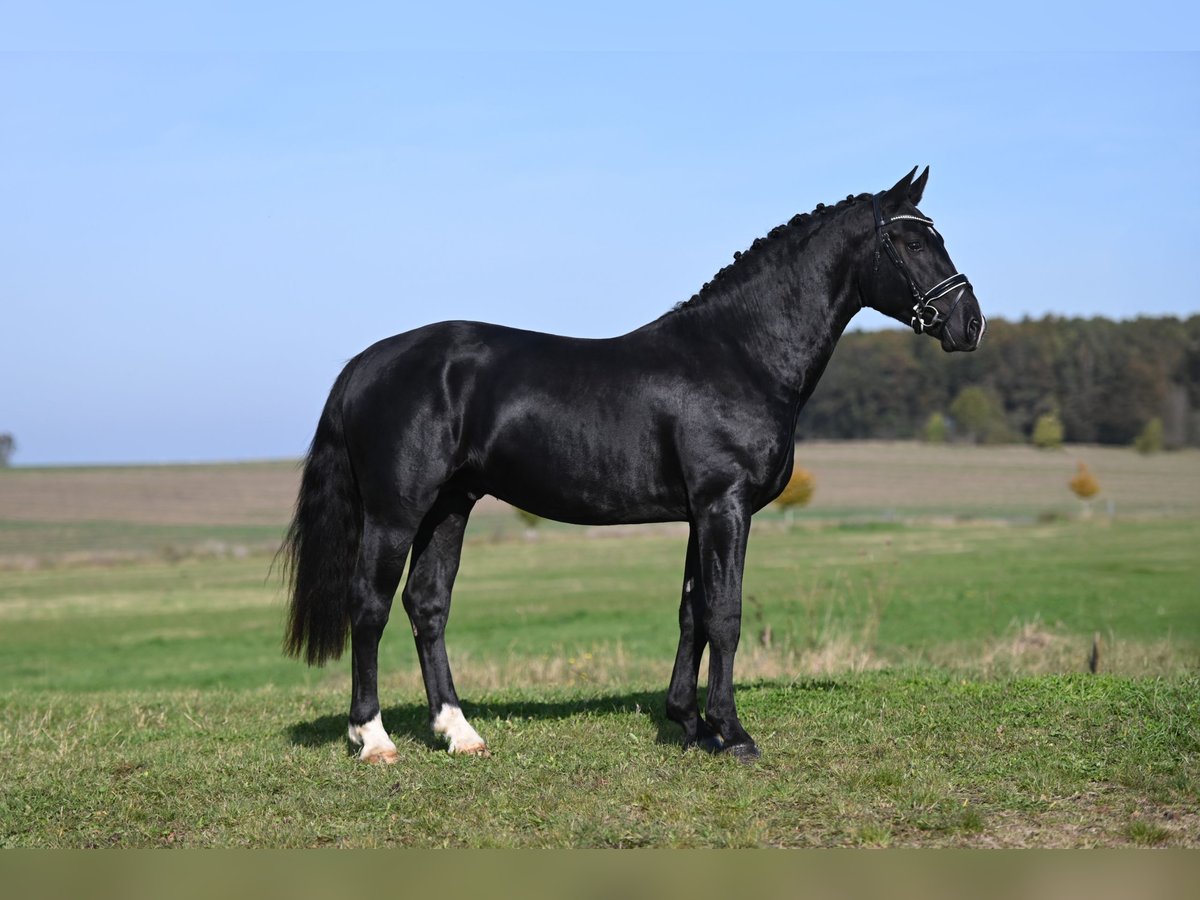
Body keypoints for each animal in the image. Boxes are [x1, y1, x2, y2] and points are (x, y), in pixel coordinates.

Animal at [283, 168, 984, 763]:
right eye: (911, 241)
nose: (969, 324)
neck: (739, 352)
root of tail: (367, 362)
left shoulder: (701, 514)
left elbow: (692, 613)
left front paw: (690, 723)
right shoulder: (725, 505)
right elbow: (725, 615)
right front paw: (733, 733)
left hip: (449, 506)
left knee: (427, 605)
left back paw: (459, 733)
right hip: (396, 512)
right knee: (369, 605)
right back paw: (373, 738)